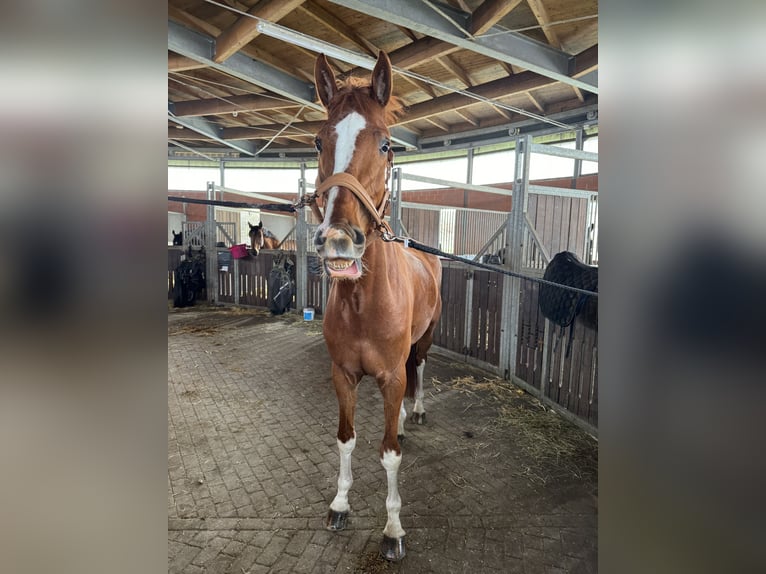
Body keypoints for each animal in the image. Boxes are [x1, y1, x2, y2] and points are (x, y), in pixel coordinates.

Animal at [312, 50, 444, 564]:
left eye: (386, 145)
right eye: (318, 140)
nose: (338, 240)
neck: (364, 302)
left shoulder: (390, 375)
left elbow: (388, 453)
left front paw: (393, 530)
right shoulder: (343, 375)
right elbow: (346, 439)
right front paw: (339, 504)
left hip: (425, 340)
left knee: (419, 369)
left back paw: (417, 412)